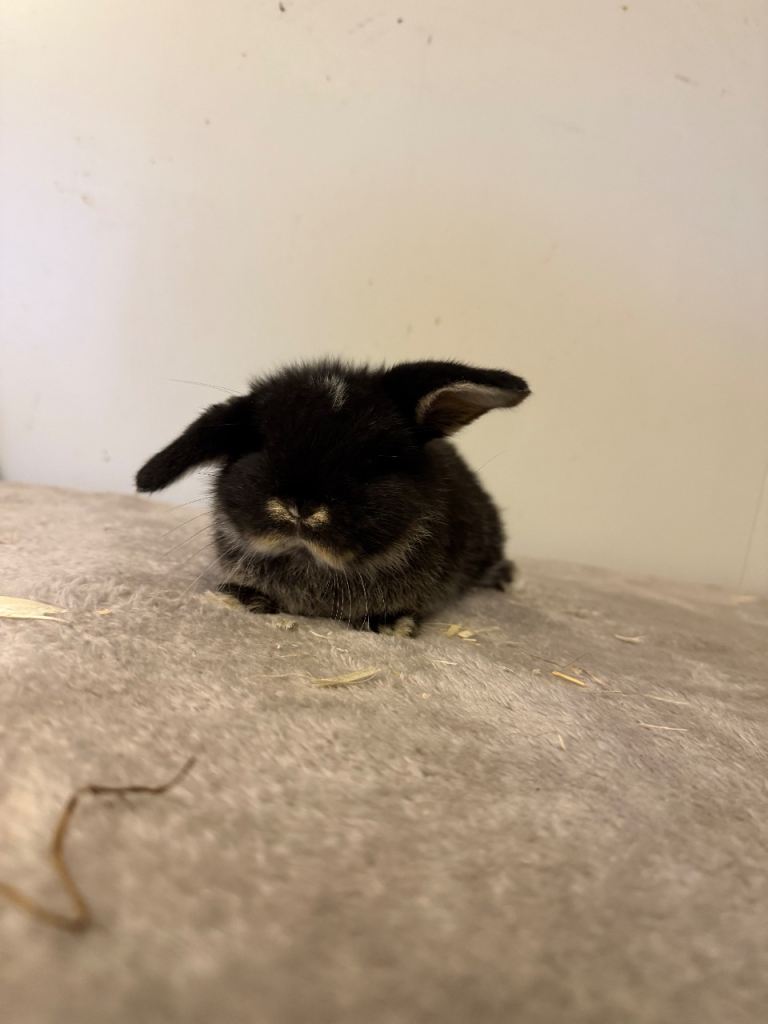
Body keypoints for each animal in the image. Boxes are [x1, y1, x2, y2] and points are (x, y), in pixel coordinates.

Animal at [136, 359, 530, 636]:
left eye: (374, 462)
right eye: (259, 448)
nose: (301, 507)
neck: (310, 564)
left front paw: (389, 624)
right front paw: (240, 597)